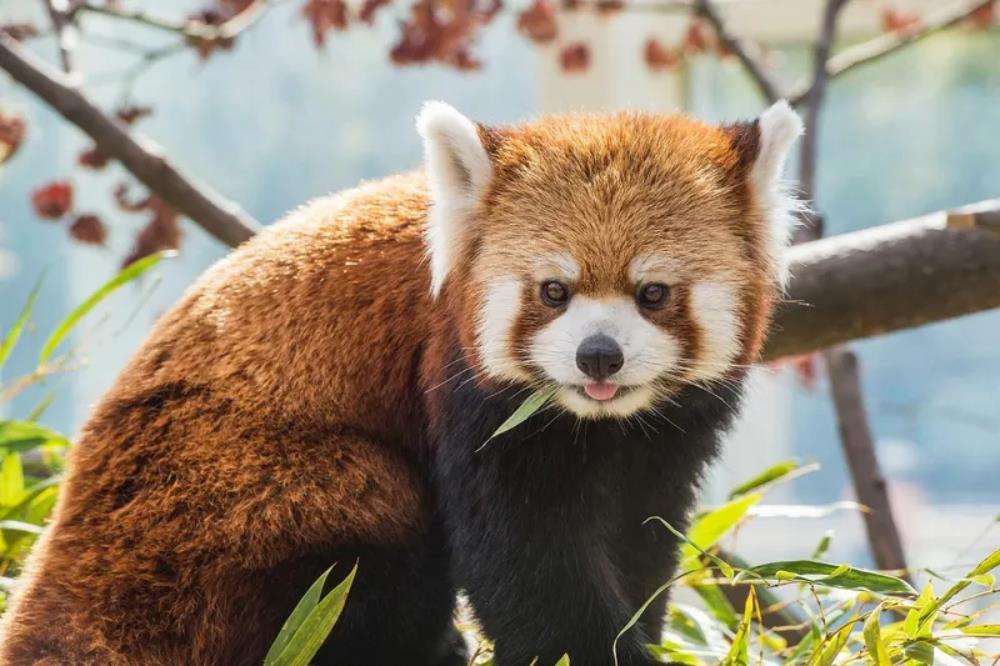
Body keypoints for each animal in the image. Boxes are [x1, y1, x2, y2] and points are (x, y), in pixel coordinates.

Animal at [0, 100, 796, 664]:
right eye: (554, 291)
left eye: (652, 293)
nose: (597, 356)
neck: (595, 422)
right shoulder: (465, 388)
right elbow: (527, 564)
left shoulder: (665, 435)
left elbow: (641, 538)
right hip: (229, 497)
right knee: (372, 521)